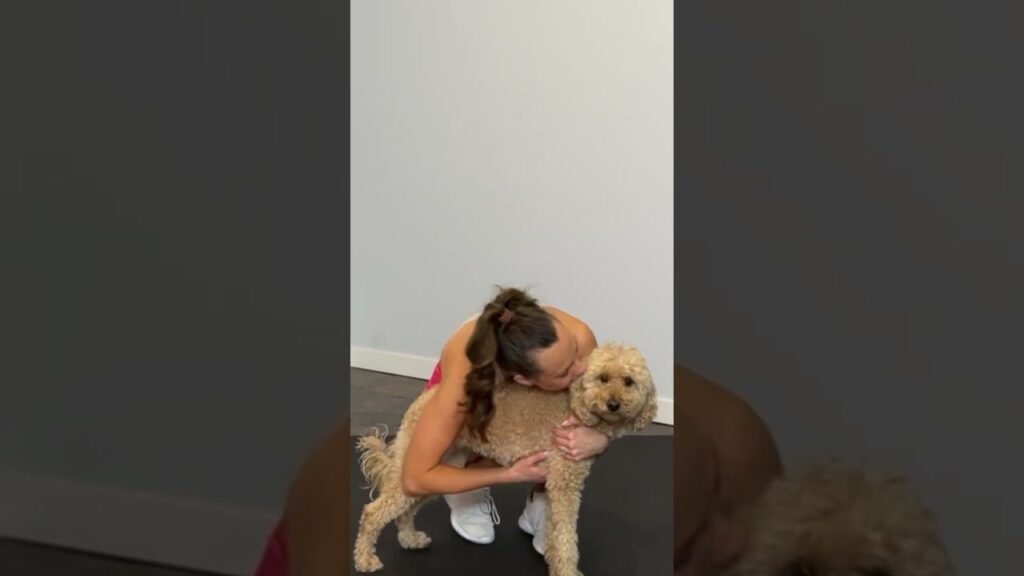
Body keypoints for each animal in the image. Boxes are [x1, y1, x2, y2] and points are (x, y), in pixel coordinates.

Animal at [352, 340, 655, 573]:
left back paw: (409, 537)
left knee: (407, 507)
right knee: (373, 512)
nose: (613, 404)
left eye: (629, 381)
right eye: (602, 378)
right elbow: (566, 538)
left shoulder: (557, 483)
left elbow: (555, 531)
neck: (575, 403)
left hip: (433, 468)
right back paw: (365, 559)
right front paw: (568, 570)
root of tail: (428, 397)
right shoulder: (565, 484)